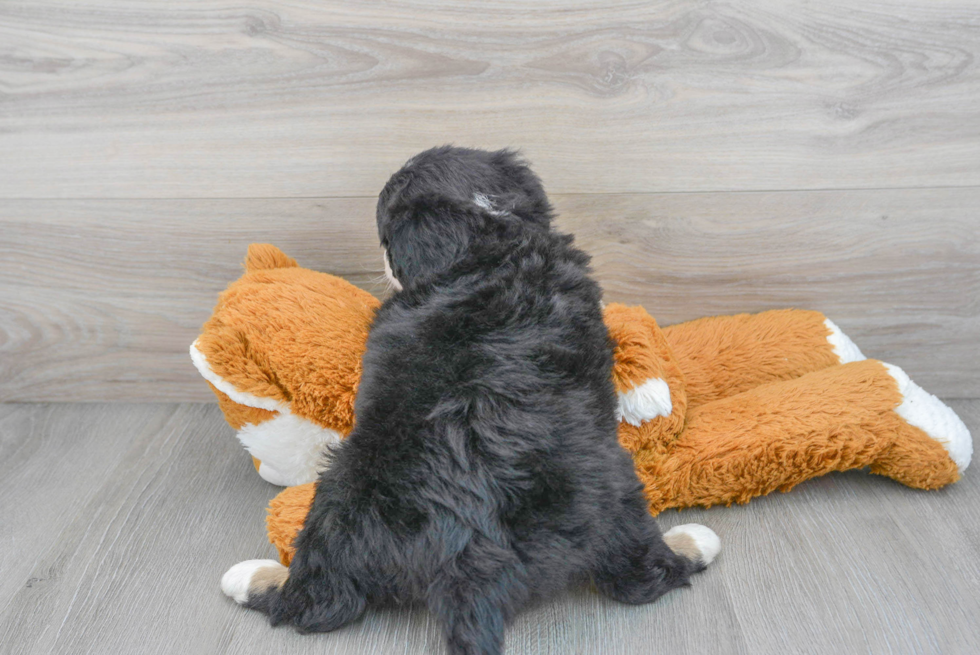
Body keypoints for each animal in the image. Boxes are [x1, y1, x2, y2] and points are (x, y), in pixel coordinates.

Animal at [224, 147, 720, 655]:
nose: (385, 263)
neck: (488, 242)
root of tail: (465, 551)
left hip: (337, 499)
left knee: (316, 600)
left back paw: (251, 576)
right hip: (614, 494)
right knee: (640, 577)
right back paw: (692, 543)